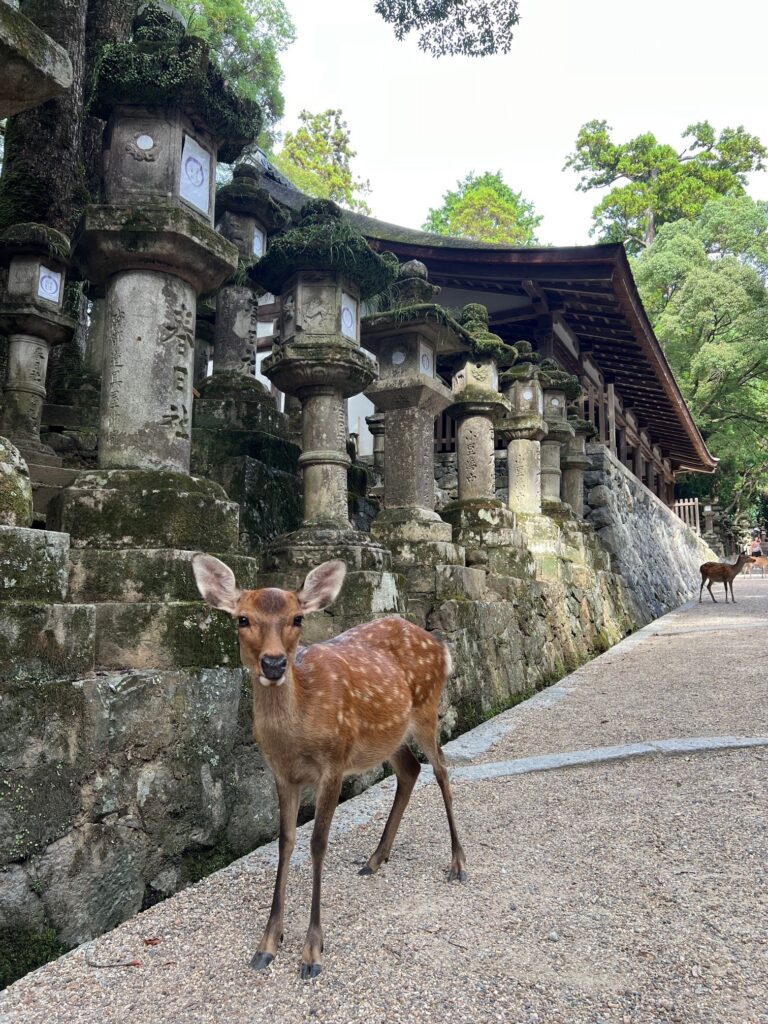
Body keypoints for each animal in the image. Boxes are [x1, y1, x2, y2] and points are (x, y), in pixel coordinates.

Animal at [192, 554, 467, 980]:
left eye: (297, 618)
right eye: (242, 619)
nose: (274, 664)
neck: (296, 737)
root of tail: (439, 644)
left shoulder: (333, 763)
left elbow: (318, 844)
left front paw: (311, 951)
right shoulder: (281, 774)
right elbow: (286, 841)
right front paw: (267, 944)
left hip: (426, 708)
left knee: (441, 769)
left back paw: (457, 863)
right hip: (385, 736)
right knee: (409, 770)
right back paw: (375, 859)